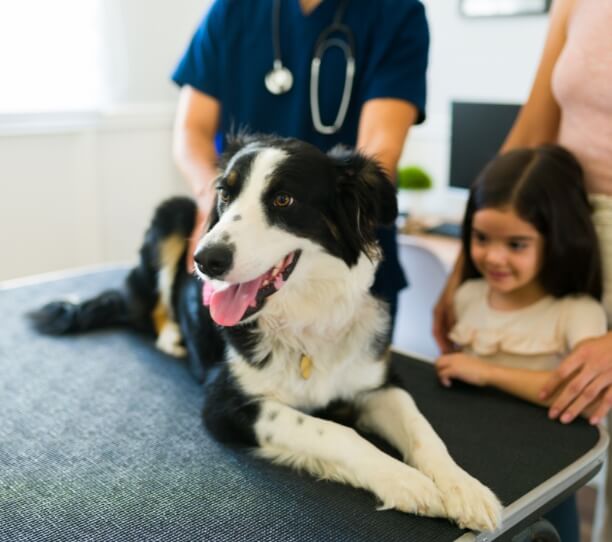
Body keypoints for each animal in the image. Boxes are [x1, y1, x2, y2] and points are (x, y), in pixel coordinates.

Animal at [33, 135, 500, 532]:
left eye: (283, 199)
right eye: (225, 194)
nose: (205, 261)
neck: (303, 319)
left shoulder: (378, 382)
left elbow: (423, 431)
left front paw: (463, 488)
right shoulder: (225, 403)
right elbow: (335, 431)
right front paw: (405, 480)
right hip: (174, 212)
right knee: (146, 306)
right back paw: (172, 337)